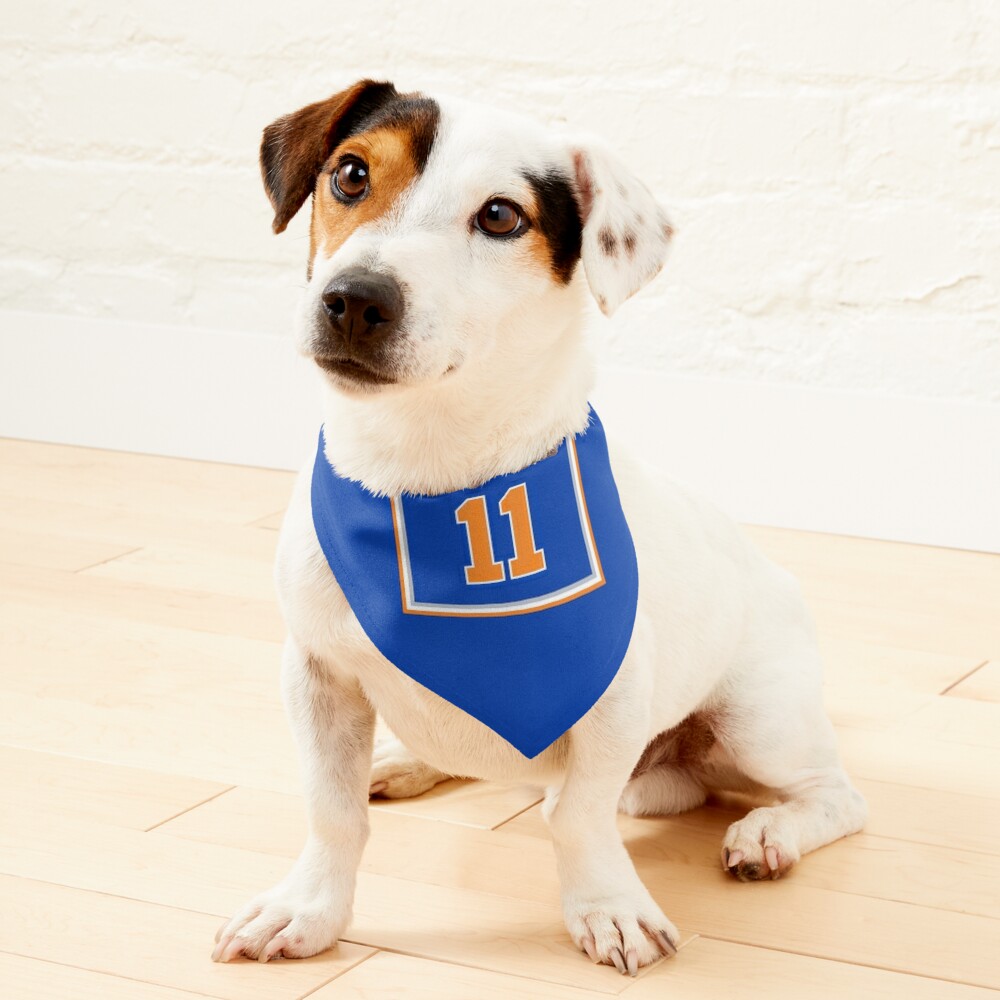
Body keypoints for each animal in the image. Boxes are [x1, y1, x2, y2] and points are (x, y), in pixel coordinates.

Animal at [213, 80, 868, 976]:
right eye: (350, 174)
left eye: (500, 216)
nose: (355, 299)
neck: (430, 477)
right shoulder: (317, 676)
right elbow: (332, 810)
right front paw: (309, 909)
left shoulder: (611, 698)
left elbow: (579, 816)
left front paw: (608, 907)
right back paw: (408, 761)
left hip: (760, 720)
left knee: (834, 796)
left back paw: (770, 832)